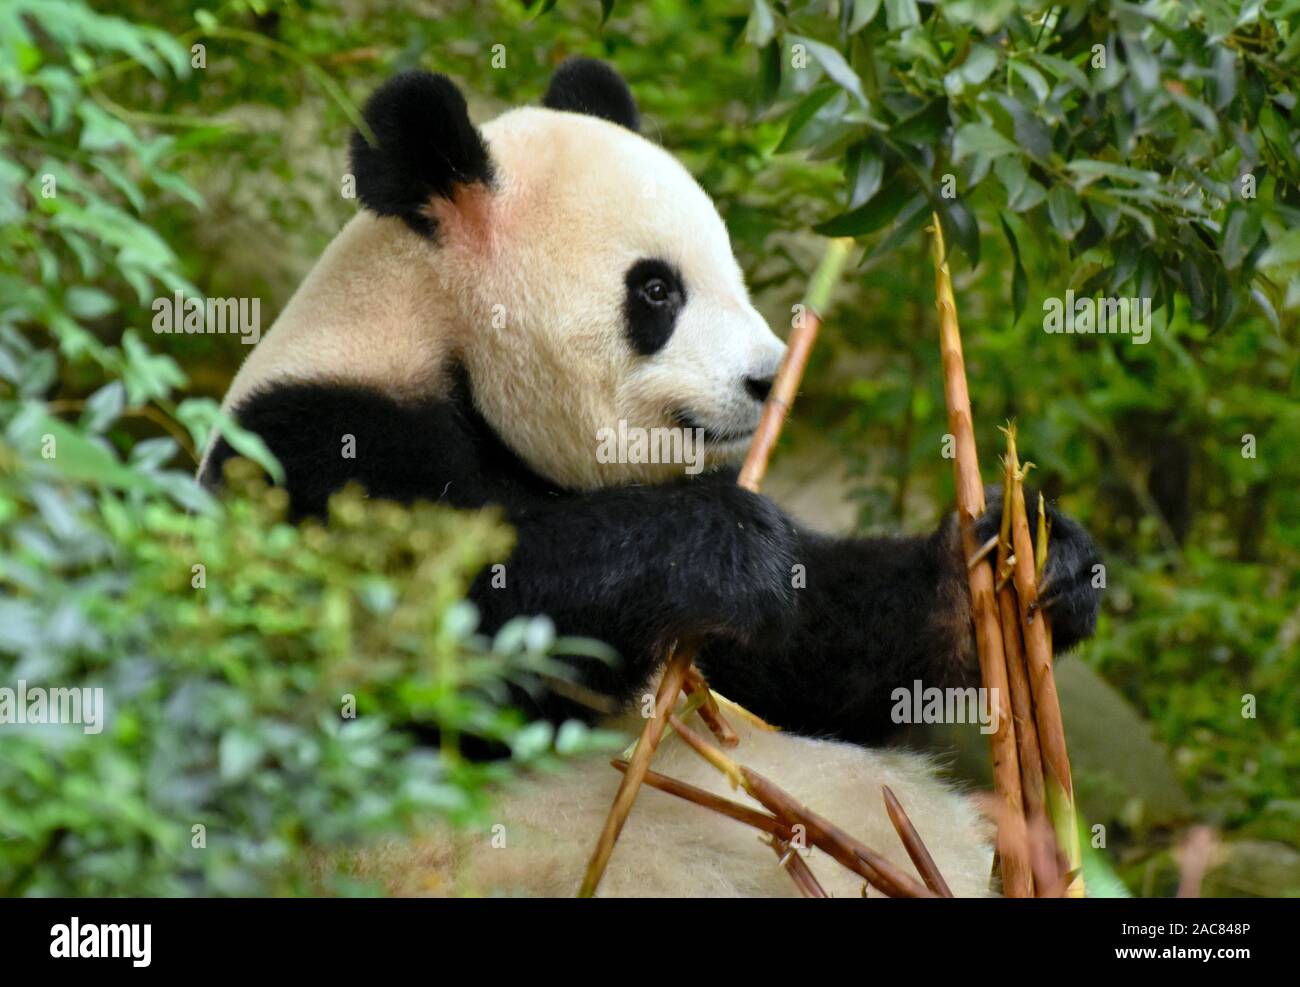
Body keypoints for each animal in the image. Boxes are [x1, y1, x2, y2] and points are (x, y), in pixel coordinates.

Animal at [200, 58, 1101, 897]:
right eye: (657, 288)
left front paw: (1022, 562)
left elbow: (794, 657)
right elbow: (436, 648)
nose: (767, 379)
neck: (433, 335)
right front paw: (725, 542)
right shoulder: (317, 446)